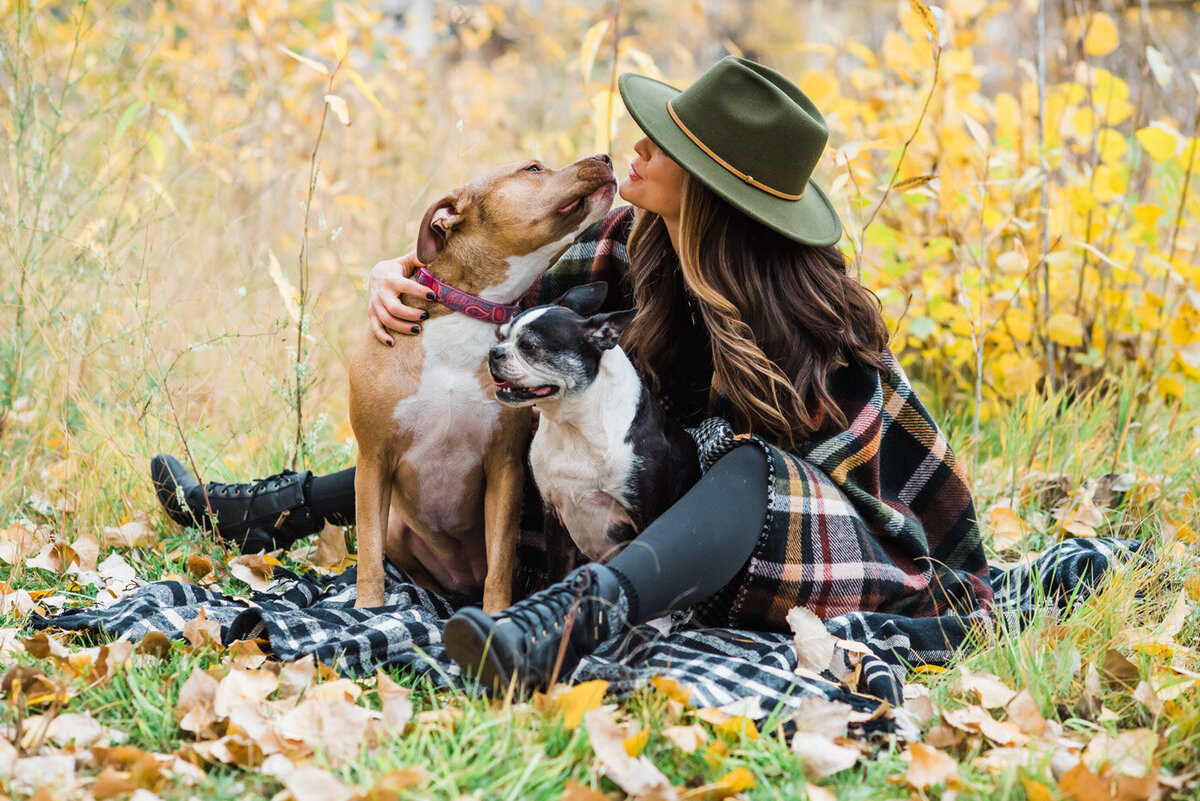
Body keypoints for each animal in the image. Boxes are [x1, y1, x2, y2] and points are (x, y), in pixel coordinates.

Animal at [345, 154, 609, 606]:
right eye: (533, 168)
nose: (606, 158)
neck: (469, 311)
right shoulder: (374, 460)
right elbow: (369, 557)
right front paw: (369, 609)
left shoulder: (504, 468)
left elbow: (498, 566)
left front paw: (497, 612)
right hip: (397, 525)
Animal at [487, 281, 700, 563]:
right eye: (501, 337)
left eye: (529, 346)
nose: (493, 352)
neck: (574, 427)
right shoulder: (553, 515)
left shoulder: (648, 518)